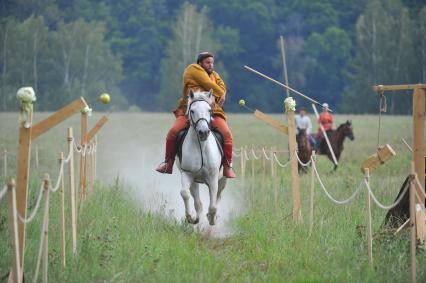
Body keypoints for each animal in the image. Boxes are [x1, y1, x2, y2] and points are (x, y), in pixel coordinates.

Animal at [177, 89, 228, 226]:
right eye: (192, 110)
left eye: (209, 110)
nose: (203, 132)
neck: (201, 146)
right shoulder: (187, 174)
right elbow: (184, 193)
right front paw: (191, 218)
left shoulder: (213, 178)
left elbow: (213, 205)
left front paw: (212, 218)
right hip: (195, 182)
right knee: (198, 202)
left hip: (223, 179)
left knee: (218, 197)